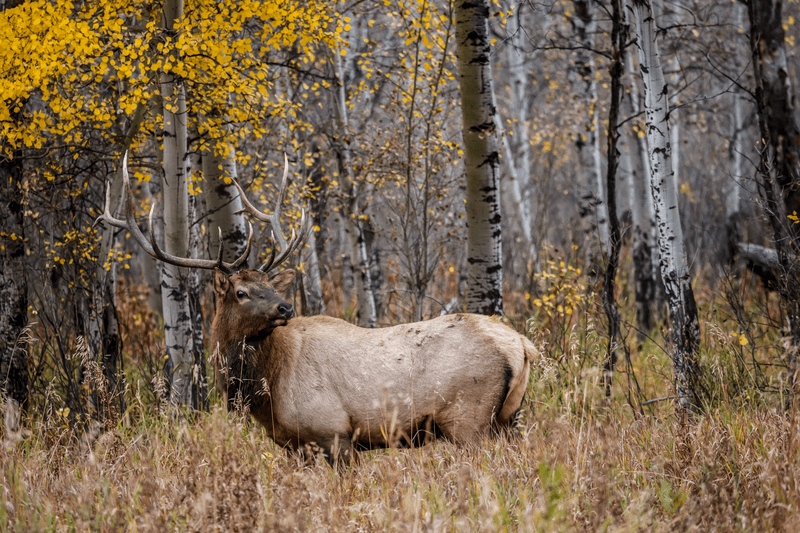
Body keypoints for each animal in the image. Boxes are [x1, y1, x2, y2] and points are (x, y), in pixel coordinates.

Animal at [97, 153, 536, 462]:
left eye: (266, 285)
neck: (266, 389)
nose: (285, 307)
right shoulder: (294, 445)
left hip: (468, 419)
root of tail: (521, 345)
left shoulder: (334, 434)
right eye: (242, 291)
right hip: (507, 418)